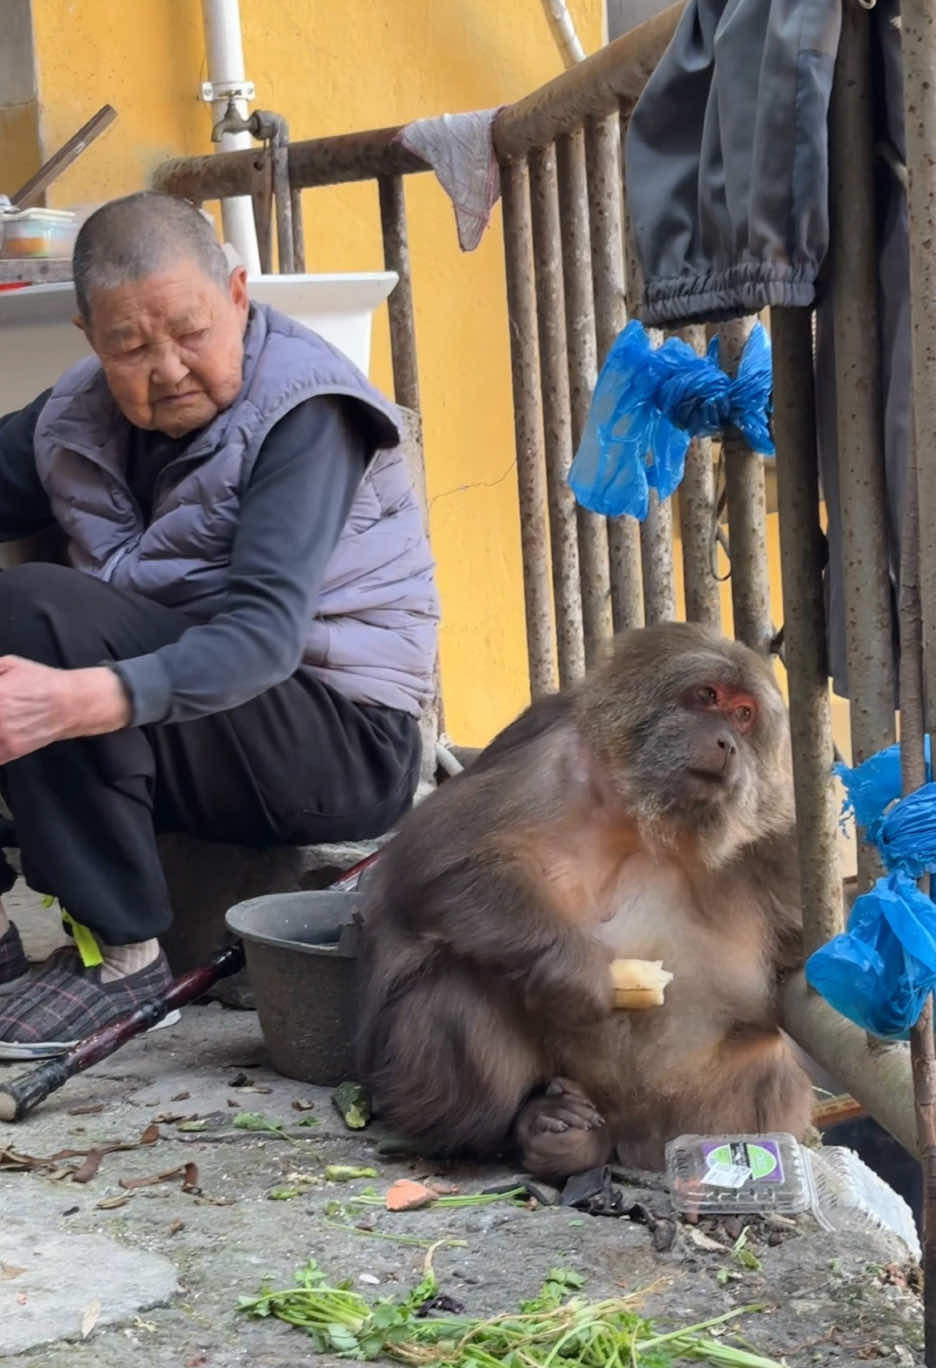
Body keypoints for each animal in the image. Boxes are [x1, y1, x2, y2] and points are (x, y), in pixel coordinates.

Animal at [354, 622, 812, 1179]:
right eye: (707, 696)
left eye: (744, 715)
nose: (727, 743)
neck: (645, 814)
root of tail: (625, 1134)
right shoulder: (549, 754)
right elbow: (442, 854)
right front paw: (571, 966)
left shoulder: (772, 826)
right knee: (453, 995)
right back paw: (537, 1127)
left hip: (673, 1113)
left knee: (766, 1070)